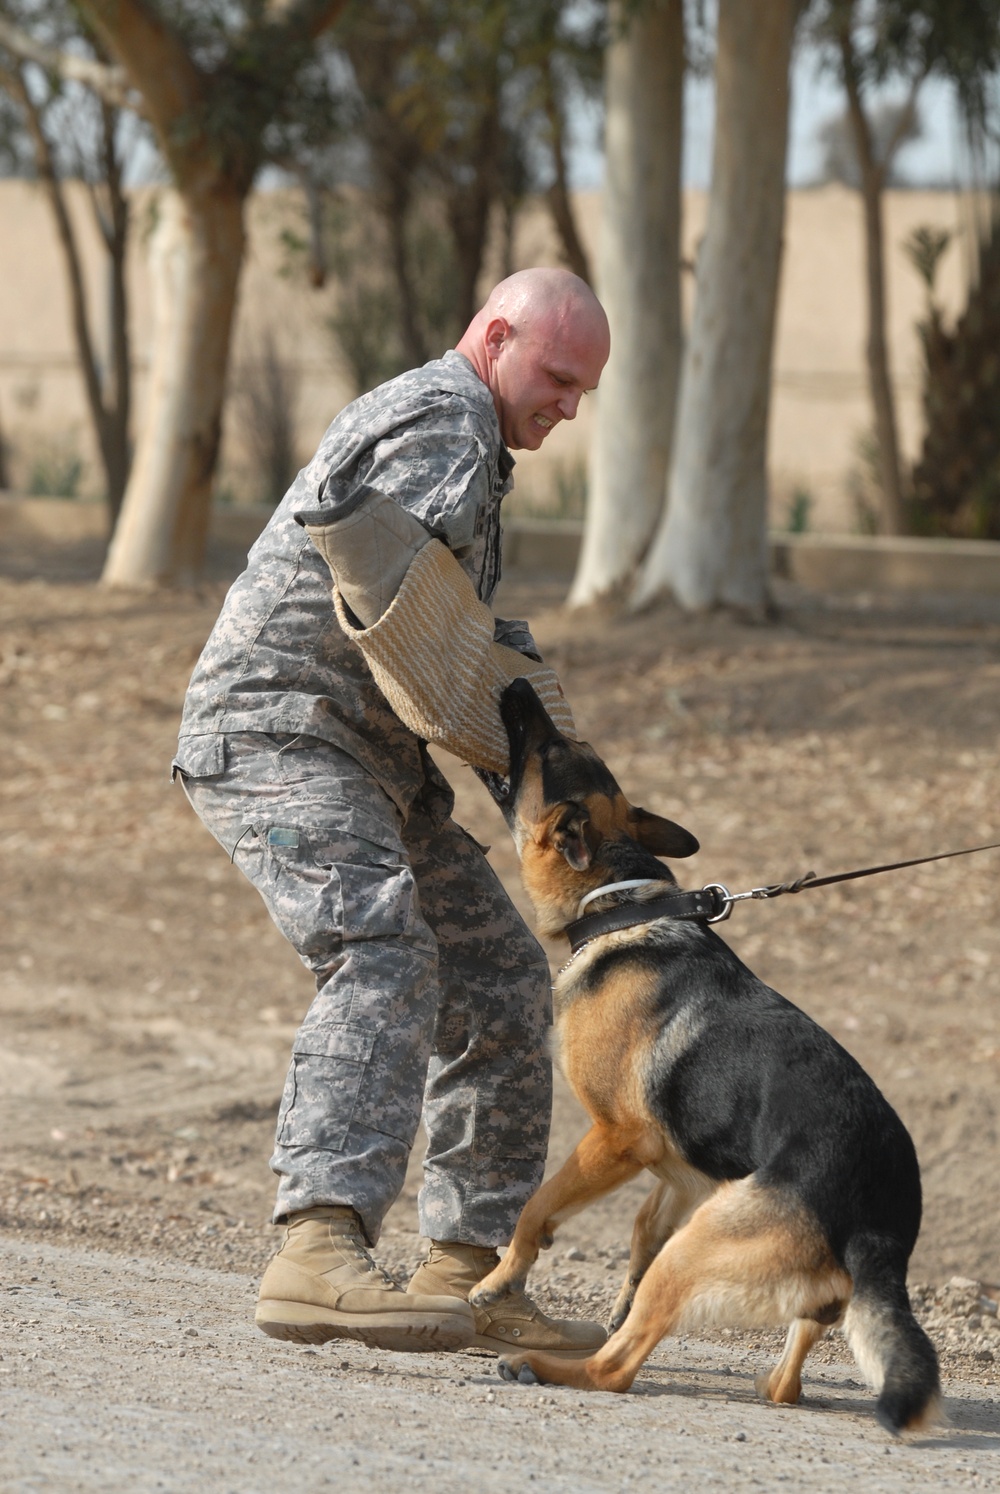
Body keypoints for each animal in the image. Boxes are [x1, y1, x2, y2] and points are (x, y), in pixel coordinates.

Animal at [472, 681, 938, 1434]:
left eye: (548, 748)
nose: (518, 686)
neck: (619, 902)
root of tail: (879, 1227)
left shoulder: (615, 1139)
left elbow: (536, 1208)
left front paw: (499, 1278)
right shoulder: (680, 1176)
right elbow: (638, 1232)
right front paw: (614, 1300)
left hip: (697, 1248)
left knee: (616, 1371)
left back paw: (541, 1367)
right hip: (733, 1244)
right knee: (781, 1383)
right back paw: (762, 1380)